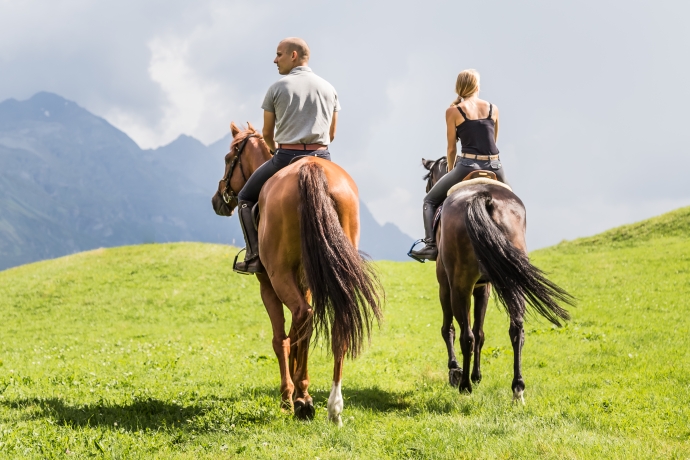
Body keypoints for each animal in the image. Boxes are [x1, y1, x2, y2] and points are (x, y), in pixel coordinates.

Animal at [212, 122, 383, 425]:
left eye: (228, 157)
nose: (217, 200)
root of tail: (311, 169)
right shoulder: (305, 283)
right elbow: (298, 332)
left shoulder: (268, 285)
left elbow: (281, 338)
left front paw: (288, 397)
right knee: (333, 323)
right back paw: (333, 407)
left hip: (278, 275)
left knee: (303, 316)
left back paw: (302, 400)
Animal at [420, 157, 573, 401]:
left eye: (428, 178)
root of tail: (484, 197)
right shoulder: (484, 288)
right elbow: (481, 332)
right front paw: (476, 375)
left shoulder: (445, 285)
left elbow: (450, 328)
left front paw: (456, 371)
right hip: (511, 281)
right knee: (516, 330)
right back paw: (517, 388)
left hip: (460, 285)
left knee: (466, 335)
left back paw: (464, 386)